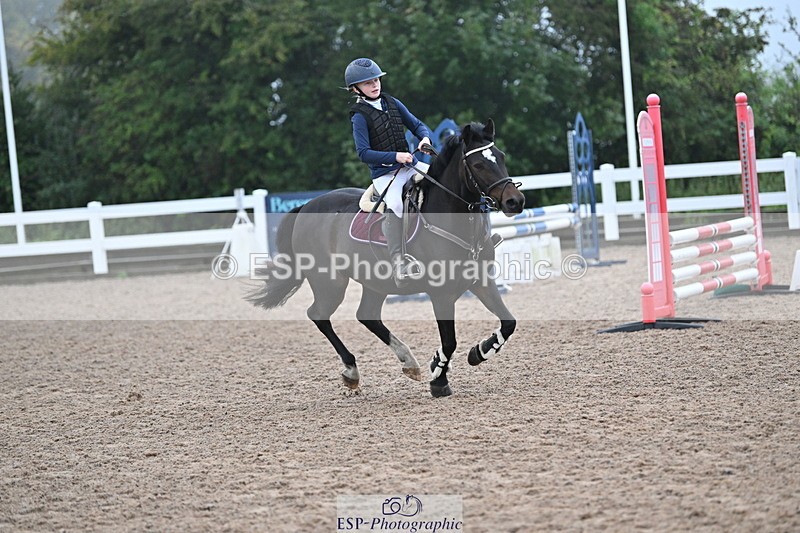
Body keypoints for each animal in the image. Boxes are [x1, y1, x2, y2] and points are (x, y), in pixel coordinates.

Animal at [247, 119, 525, 397]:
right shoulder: (441, 293)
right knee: (319, 314)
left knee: (367, 315)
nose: (515, 201)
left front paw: (480, 352)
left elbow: (508, 322)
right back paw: (352, 371)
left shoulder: (482, 282)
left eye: (501, 157)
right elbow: (449, 340)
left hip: (375, 283)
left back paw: (408, 361)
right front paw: (439, 380)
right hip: (330, 283)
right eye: (478, 165)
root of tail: (306, 206)